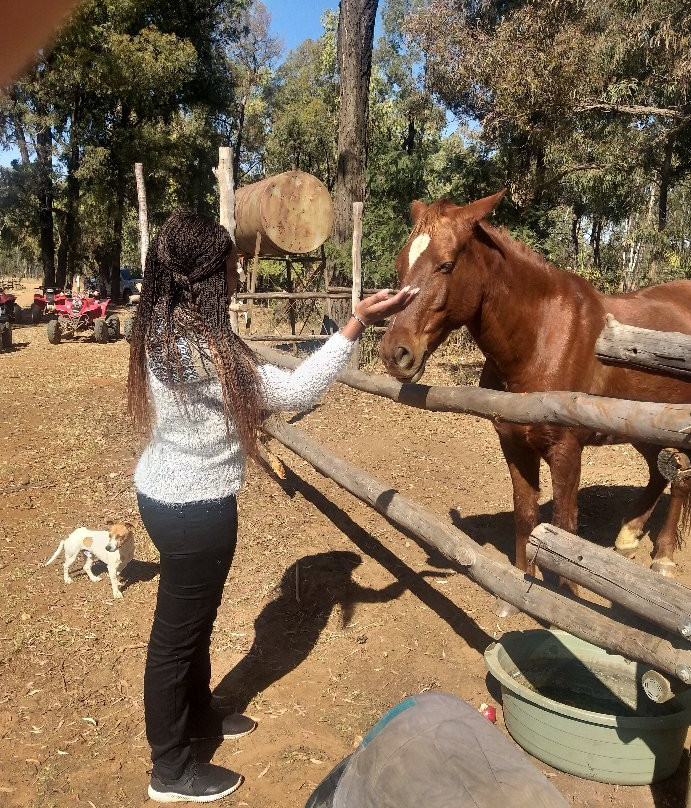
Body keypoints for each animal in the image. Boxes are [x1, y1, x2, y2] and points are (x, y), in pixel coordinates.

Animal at [380, 191, 691, 614]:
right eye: (401, 264)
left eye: (446, 265)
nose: (395, 353)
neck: (541, 338)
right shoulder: (513, 443)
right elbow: (526, 514)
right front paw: (518, 588)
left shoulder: (566, 450)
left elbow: (564, 526)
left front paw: (567, 598)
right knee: (661, 473)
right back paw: (628, 537)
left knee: (681, 479)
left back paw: (663, 557)